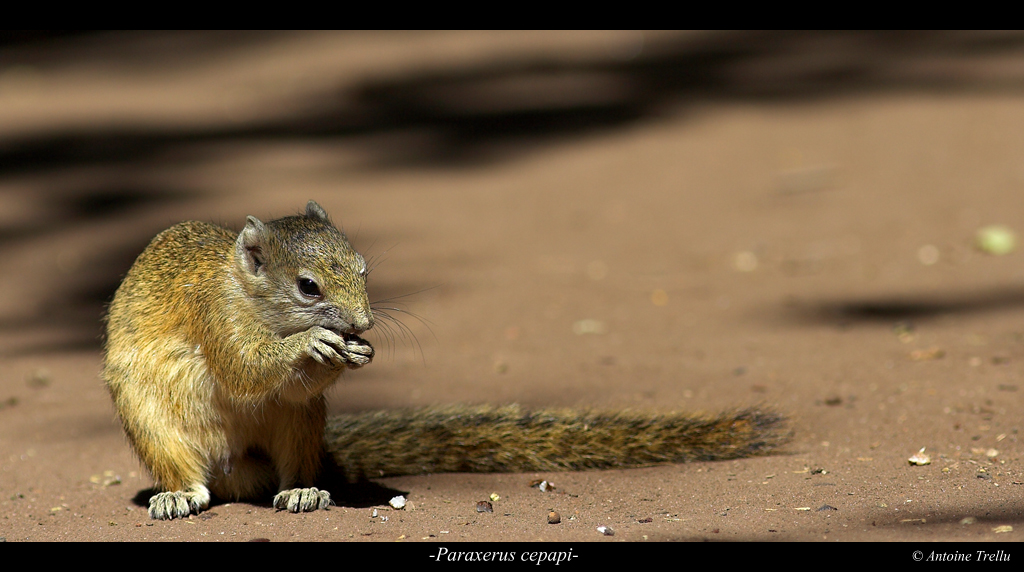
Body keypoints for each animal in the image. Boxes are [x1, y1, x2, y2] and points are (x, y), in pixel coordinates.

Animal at [103, 201, 790, 520]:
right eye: (308, 287)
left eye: (363, 270)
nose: (362, 324)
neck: (248, 294)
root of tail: (234, 473)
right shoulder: (213, 316)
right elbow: (246, 367)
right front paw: (309, 346)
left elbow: (292, 383)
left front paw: (354, 353)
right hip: (157, 429)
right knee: (185, 473)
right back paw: (178, 496)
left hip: (297, 430)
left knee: (293, 459)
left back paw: (303, 491)